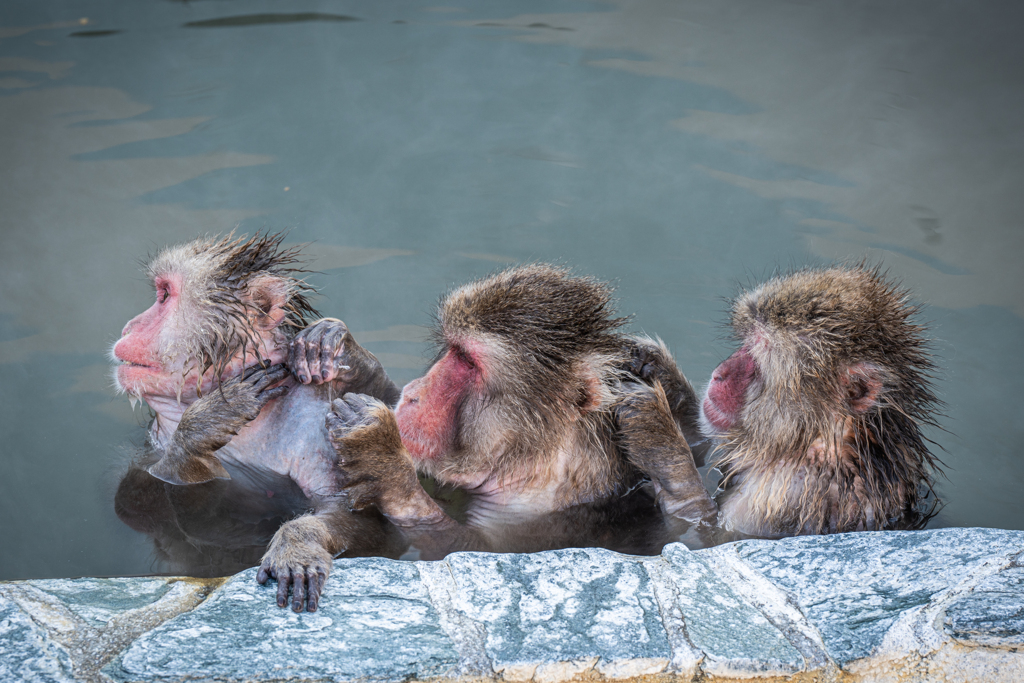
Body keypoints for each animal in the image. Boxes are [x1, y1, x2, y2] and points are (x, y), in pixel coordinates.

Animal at [110, 232, 401, 610]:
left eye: (164, 295)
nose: (128, 326)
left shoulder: (321, 423)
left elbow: (354, 514)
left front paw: (297, 545)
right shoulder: (156, 436)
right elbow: (141, 494)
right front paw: (205, 422)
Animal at [614, 266, 942, 540]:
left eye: (760, 353)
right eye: (748, 341)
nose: (720, 374)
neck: (819, 440)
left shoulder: (793, 495)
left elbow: (703, 531)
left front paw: (653, 428)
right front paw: (659, 369)